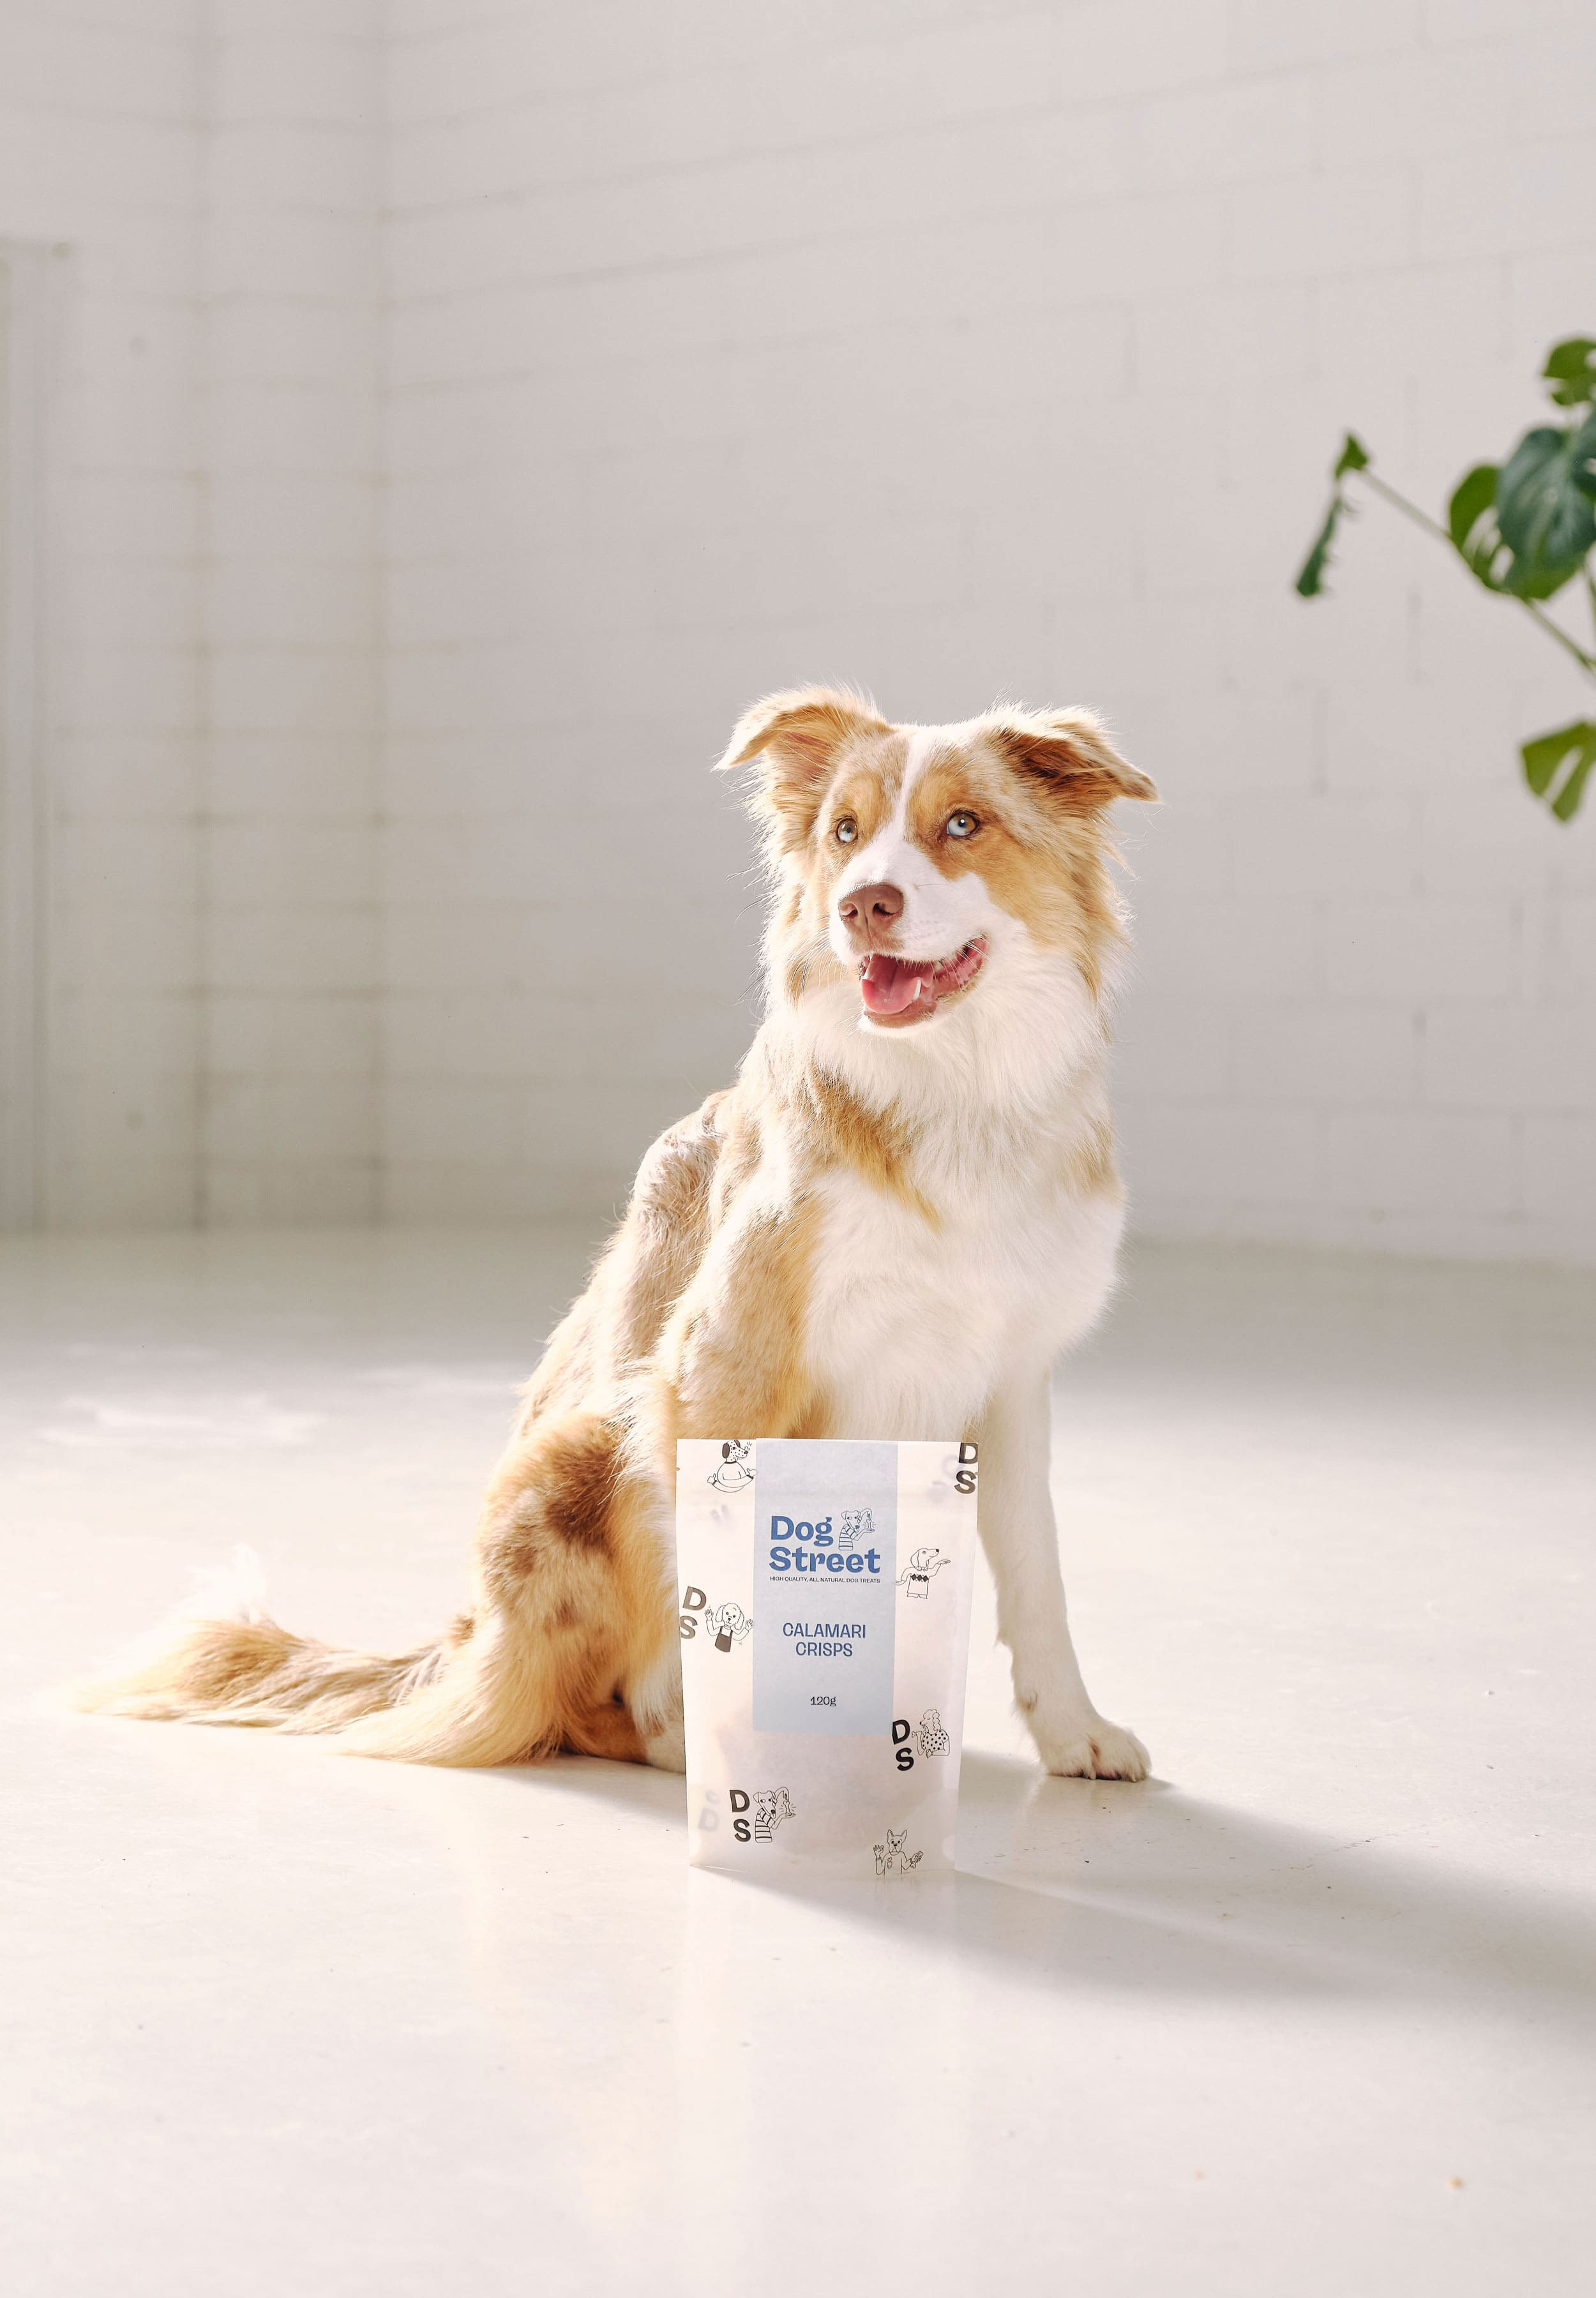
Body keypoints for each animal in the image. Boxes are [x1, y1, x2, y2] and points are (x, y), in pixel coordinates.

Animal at [78, 689, 1150, 1783]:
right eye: (844, 835)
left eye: (964, 825)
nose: (862, 905)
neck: (958, 1088)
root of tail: (463, 1640)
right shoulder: (717, 1372)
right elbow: (735, 1594)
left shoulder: (1008, 1381)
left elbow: (1037, 1572)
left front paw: (1075, 1731)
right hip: (581, 1451)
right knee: (581, 1707)